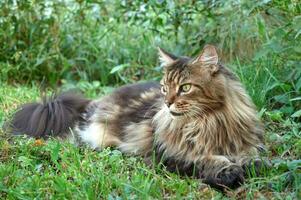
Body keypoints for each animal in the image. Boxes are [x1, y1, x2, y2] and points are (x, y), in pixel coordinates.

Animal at [8, 45, 264, 191]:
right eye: (164, 88)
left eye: (185, 88)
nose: (167, 103)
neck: (208, 122)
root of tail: (93, 102)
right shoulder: (170, 155)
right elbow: (205, 159)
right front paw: (229, 172)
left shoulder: (241, 141)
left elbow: (252, 156)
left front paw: (249, 163)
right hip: (95, 137)